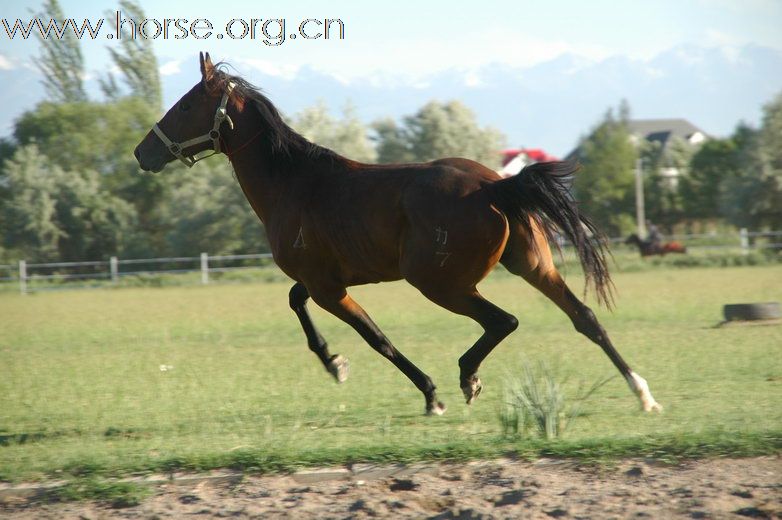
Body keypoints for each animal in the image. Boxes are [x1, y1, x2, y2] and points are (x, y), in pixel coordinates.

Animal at [135, 53, 660, 414]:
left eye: (185, 104)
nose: (142, 152)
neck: (294, 182)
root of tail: (494, 186)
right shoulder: (328, 278)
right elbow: (295, 299)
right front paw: (334, 362)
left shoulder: (330, 288)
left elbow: (376, 338)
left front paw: (427, 395)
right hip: (532, 266)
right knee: (585, 317)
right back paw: (642, 392)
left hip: (440, 283)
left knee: (503, 321)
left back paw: (467, 378)